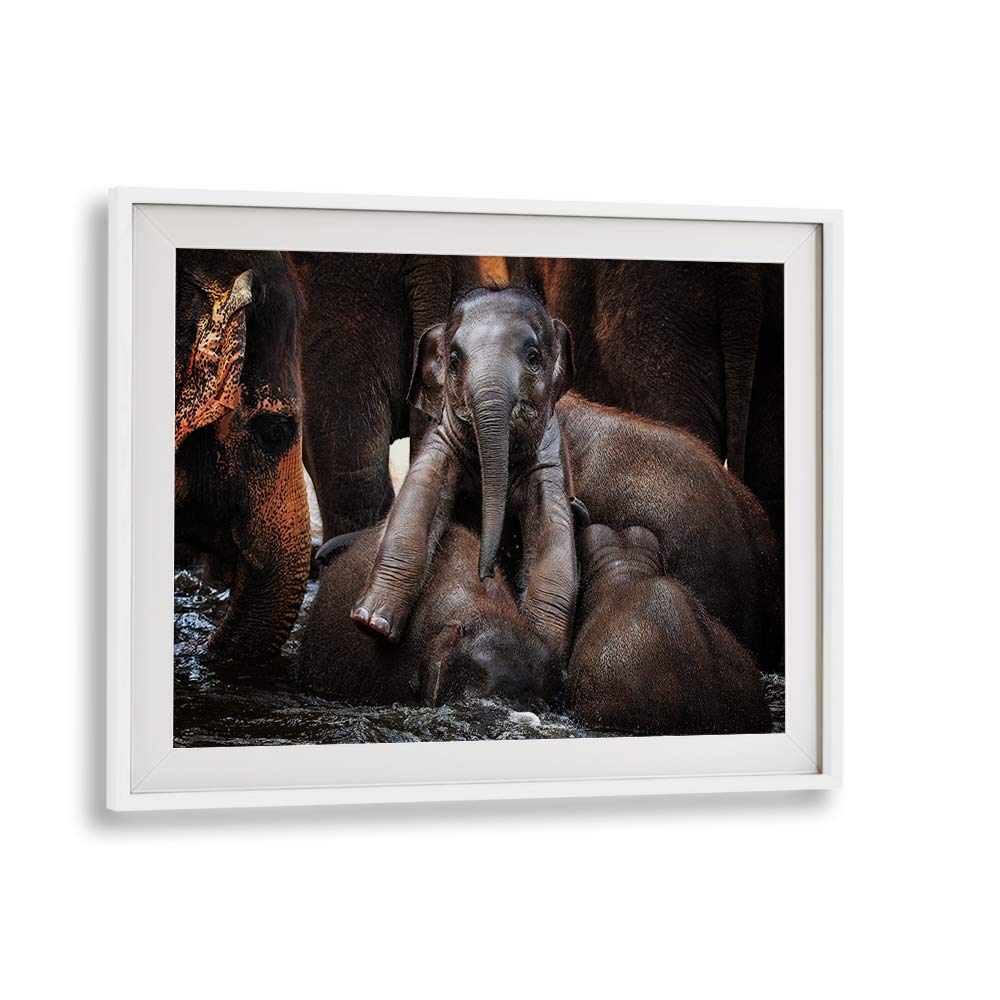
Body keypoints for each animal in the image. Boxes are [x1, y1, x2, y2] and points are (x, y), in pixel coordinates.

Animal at [351, 287, 579, 659]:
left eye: (533, 356)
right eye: (454, 360)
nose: (485, 573)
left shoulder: (549, 461)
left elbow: (553, 532)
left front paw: (543, 645)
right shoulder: (441, 441)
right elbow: (418, 498)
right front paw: (371, 624)